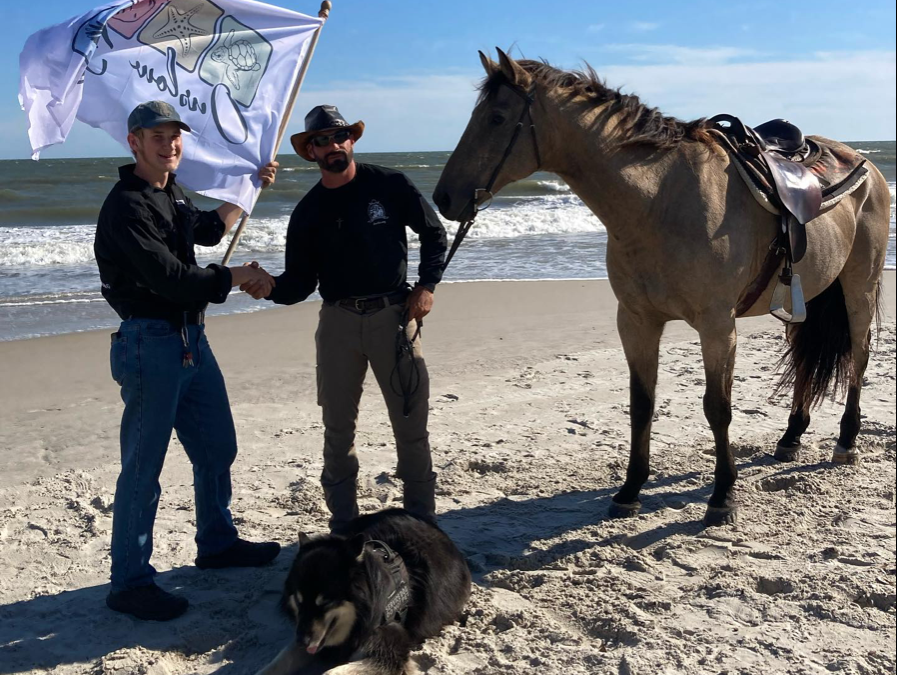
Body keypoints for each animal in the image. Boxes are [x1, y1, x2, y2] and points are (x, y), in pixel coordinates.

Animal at [434, 50, 888, 524]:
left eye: (498, 117)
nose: (443, 198)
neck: (662, 201)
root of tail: (867, 164)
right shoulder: (636, 321)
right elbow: (642, 404)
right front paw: (630, 490)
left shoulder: (716, 326)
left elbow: (717, 408)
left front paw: (723, 496)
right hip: (806, 298)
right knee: (803, 360)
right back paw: (790, 438)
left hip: (858, 286)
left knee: (859, 355)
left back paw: (846, 442)